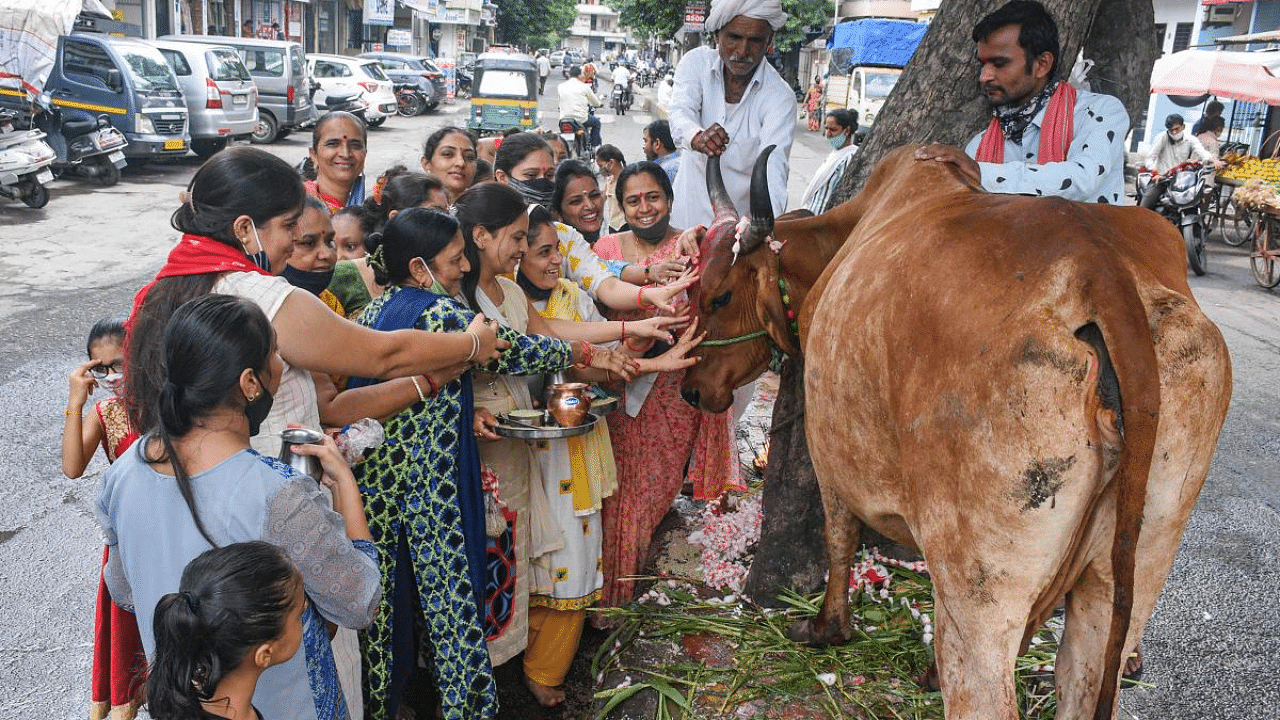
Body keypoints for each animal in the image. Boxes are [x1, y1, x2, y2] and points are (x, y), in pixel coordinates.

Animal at [680, 144, 1228, 717]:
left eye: (718, 297)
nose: (691, 389)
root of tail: (1101, 271)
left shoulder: (831, 453)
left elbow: (839, 537)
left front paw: (827, 628)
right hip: (1140, 556)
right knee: (1085, 672)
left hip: (980, 586)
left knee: (981, 687)